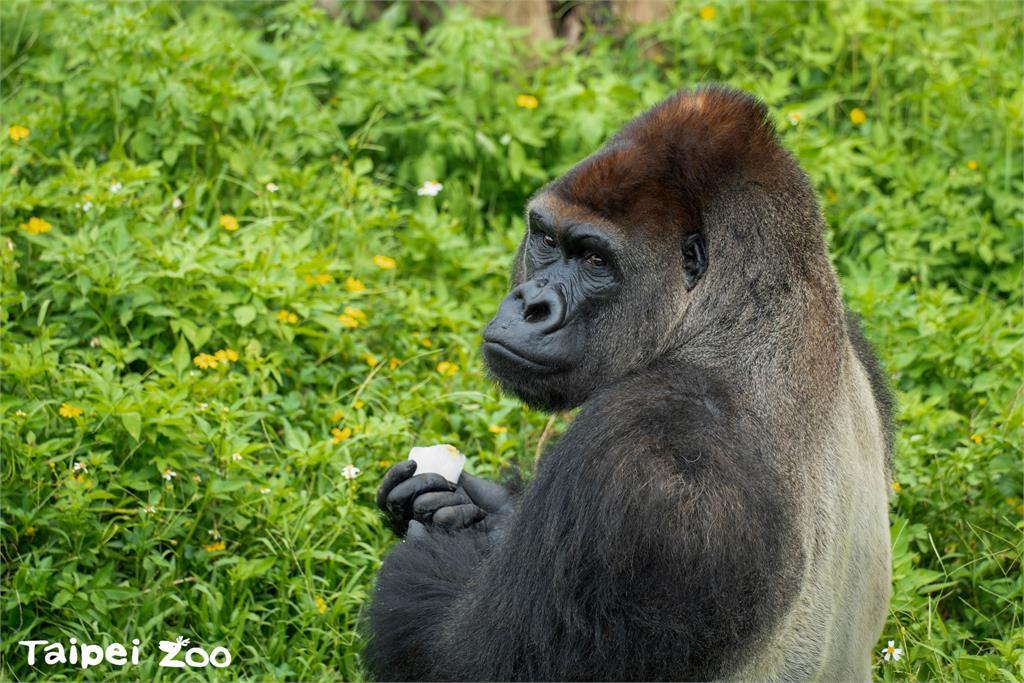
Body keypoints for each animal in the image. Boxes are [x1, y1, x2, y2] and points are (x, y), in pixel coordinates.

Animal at [364, 87, 892, 683]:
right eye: (546, 239)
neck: (745, 317)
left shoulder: (648, 455)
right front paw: (477, 504)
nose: (531, 305)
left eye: (595, 259)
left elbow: (472, 663)